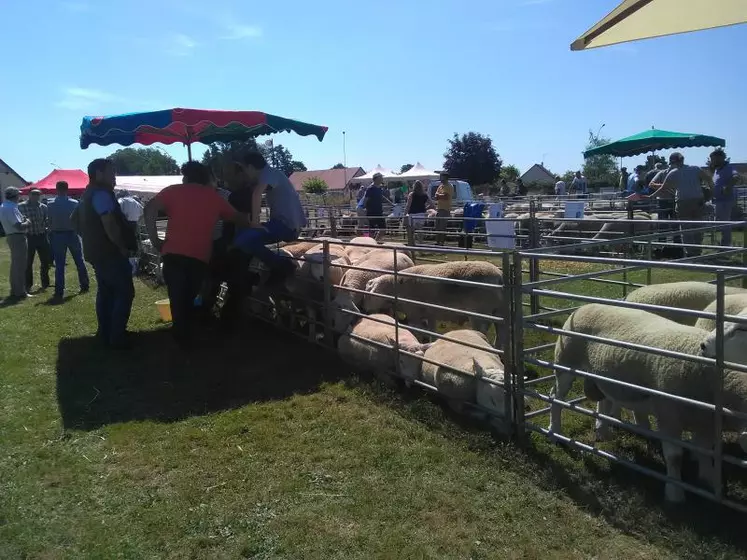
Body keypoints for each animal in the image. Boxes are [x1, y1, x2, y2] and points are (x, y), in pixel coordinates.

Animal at [364, 260, 506, 344]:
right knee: (501, 338)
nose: (365, 310)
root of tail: (499, 276)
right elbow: (431, 330)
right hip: (499, 312)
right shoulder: (429, 314)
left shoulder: (414, 313)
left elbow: (417, 330)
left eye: (368, 296)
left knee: (483, 332)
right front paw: (432, 342)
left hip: (480, 314)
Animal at [548, 304, 747, 506]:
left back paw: (603, 431)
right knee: (556, 397)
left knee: (604, 399)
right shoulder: (668, 415)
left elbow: (705, 453)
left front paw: (709, 482)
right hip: (565, 362)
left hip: (601, 373)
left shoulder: (705, 422)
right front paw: (674, 492)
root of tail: (584, 306)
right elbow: (674, 457)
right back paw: (555, 431)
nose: (704, 346)